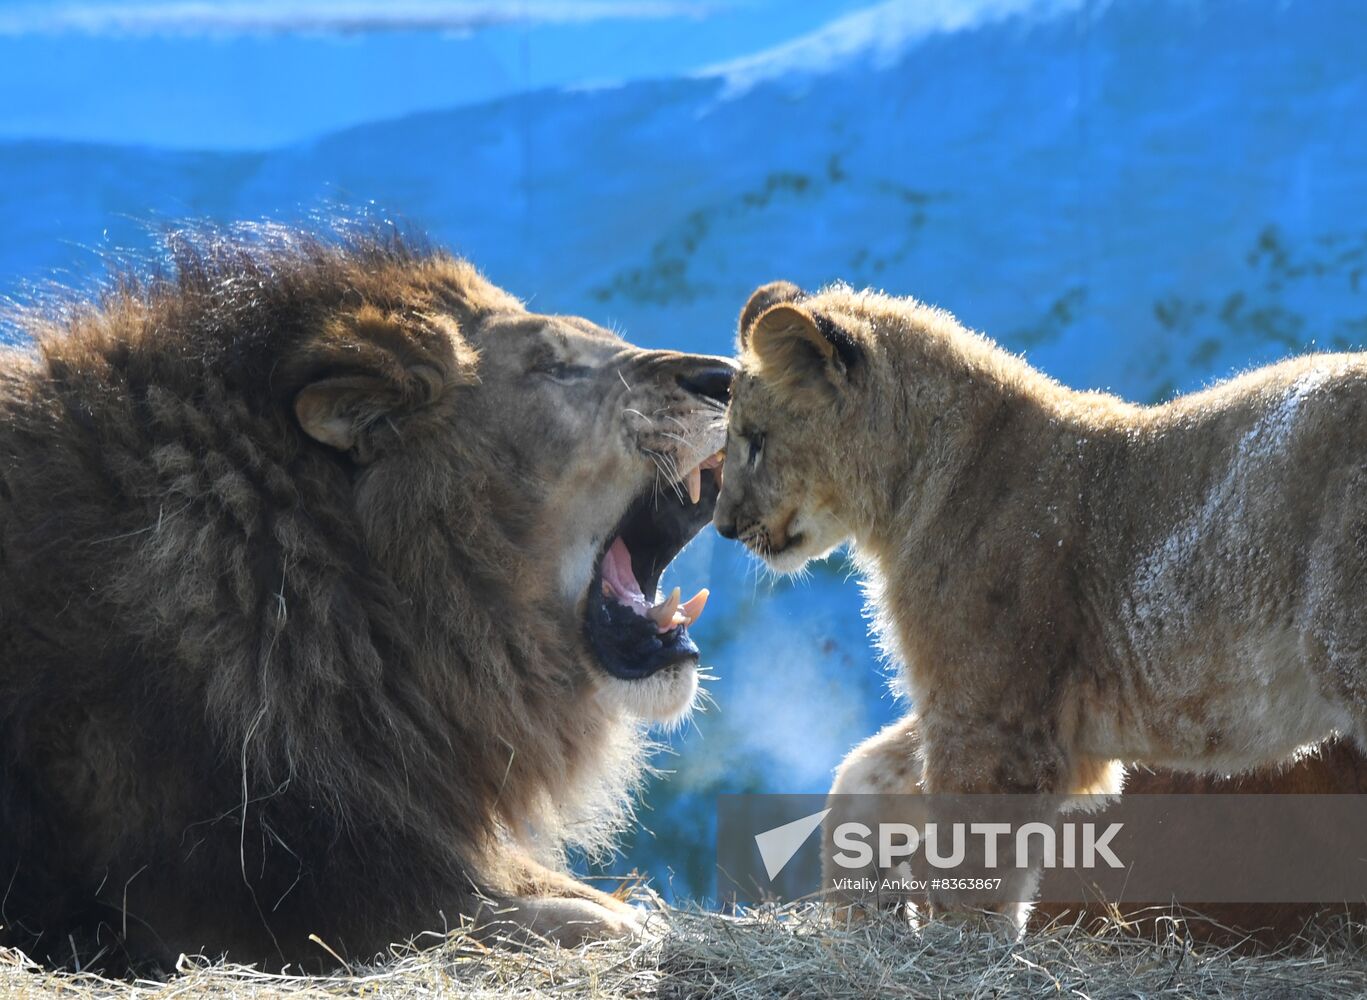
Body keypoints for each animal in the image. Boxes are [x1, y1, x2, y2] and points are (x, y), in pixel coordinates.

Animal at [716, 279, 1367, 925]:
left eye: (754, 440)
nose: (724, 526)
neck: (905, 495)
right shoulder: (988, 706)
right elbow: (866, 772)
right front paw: (863, 916)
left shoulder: (992, 721)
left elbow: (970, 863)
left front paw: (954, 945)